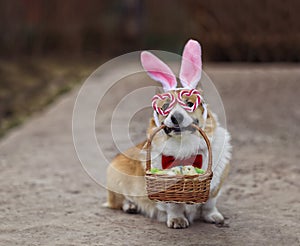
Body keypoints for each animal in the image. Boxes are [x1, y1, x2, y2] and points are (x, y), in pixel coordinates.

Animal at [103, 39, 232, 229]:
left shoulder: (215, 186)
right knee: (119, 202)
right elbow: (173, 206)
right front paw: (177, 219)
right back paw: (130, 206)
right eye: (164, 107)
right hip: (117, 182)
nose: (176, 117)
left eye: (189, 103)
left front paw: (213, 216)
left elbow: (209, 204)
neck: (184, 145)